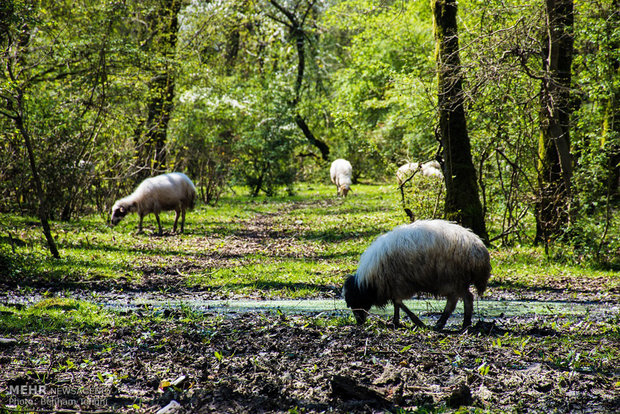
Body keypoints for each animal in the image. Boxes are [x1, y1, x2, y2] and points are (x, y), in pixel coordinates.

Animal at [342, 220, 492, 330]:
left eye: (354, 301)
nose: (359, 322)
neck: (368, 282)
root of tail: (479, 251)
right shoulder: (393, 285)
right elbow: (396, 303)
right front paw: (396, 321)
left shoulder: (398, 282)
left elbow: (398, 302)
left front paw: (417, 322)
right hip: (458, 281)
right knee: (465, 298)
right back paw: (460, 323)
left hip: (453, 278)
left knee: (458, 300)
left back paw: (448, 323)